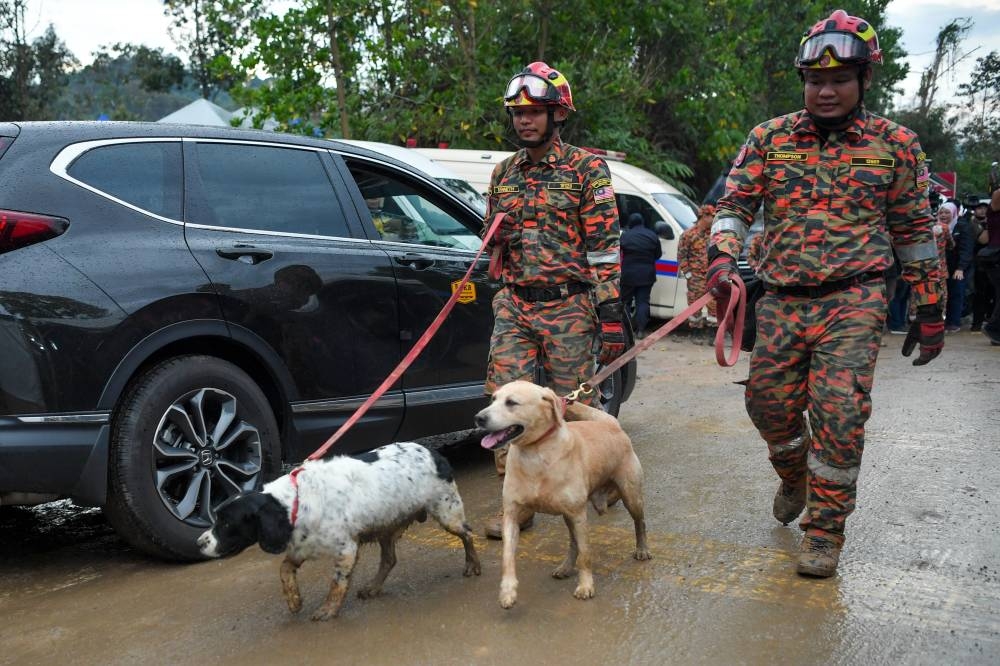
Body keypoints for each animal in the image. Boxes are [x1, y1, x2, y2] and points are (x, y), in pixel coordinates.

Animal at [474, 378, 652, 608]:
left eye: (511, 402)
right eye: (493, 399)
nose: (478, 418)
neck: (536, 454)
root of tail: (610, 423)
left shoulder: (579, 515)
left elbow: (586, 555)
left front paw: (585, 586)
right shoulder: (512, 515)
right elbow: (507, 556)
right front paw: (508, 590)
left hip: (631, 495)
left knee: (640, 522)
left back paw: (642, 549)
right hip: (568, 516)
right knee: (573, 544)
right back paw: (566, 567)